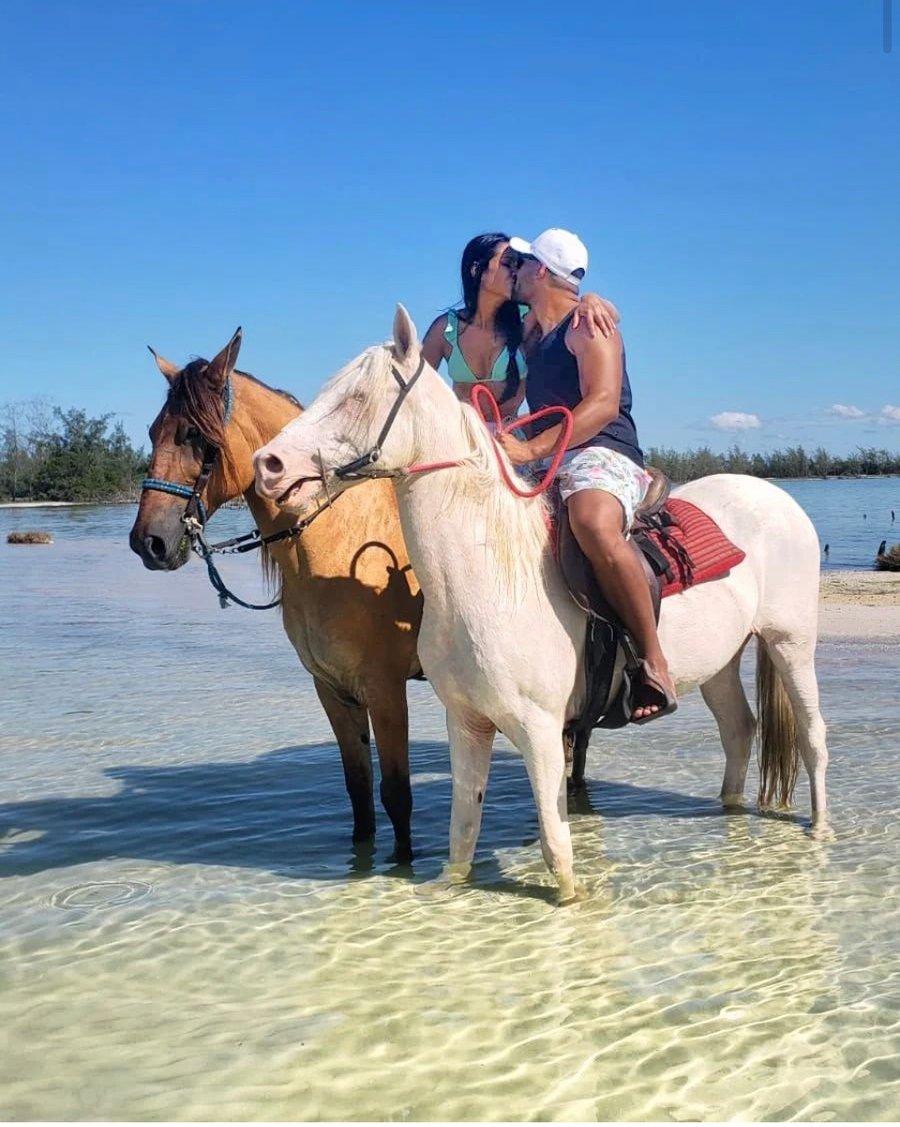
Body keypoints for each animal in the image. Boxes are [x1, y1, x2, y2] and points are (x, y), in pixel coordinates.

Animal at [128, 329, 423, 856]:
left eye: (195, 436)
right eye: (153, 431)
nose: (150, 542)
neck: (334, 545)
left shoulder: (386, 689)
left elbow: (397, 796)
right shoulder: (333, 689)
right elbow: (359, 791)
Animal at [253, 306, 829, 897]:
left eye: (357, 398)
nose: (268, 464)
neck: (484, 583)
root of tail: (776, 497)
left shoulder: (540, 729)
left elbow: (557, 845)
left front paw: (570, 902)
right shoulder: (466, 722)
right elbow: (463, 834)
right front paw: (449, 890)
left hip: (789, 643)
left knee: (812, 736)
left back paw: (820, 828)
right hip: (721, 663)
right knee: (738, 732)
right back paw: (730, 814)